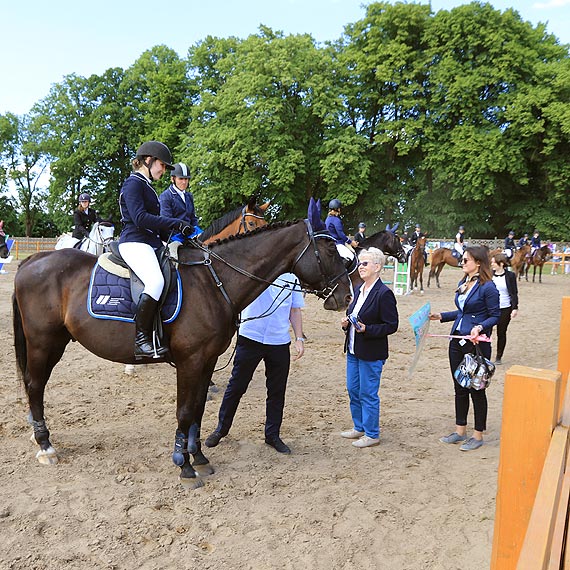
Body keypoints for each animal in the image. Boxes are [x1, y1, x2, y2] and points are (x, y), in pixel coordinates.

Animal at [12, 220, 350, 486]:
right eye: (331, 252)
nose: (346, 298)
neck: (213, 282)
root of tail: (33, 260)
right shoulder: (191, 361)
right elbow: (185, 411)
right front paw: (183, 465)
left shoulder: (207, 360)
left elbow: (198, 409)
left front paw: (198, 456)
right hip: (44, 342)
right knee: (35, 385)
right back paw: (45, 446)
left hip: (54, 343)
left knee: (34, 385)